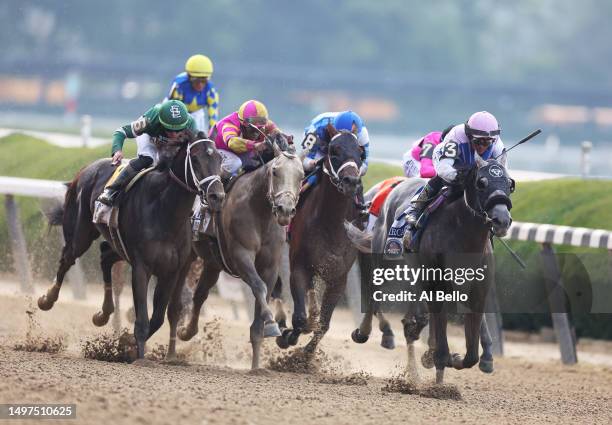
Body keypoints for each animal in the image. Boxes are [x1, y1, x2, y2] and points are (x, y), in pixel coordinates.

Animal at [36, 134, 222, 356]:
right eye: (195, 159)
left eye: (220, 159)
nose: (217, 196)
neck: (165, 210)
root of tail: (86, 169)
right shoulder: (141, 267)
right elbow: (142, 319)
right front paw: (136, 354)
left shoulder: (172, 270)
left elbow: (157, 319)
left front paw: (126, 346)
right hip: (80, 234)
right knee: (67, 258)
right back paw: (47, 299)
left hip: (118, 246)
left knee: (104, 255)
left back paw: (103, 313)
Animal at [276, 126, 364, 352]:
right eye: (334, 150)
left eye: (360, 153)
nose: (351, 182)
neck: (330, 223)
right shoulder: (299, 266)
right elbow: (299, 317)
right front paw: (288, 337)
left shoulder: (338, 277)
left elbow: (324, 324)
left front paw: (306, 355)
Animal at [346, 157, 512, 384]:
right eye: (481, 183)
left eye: (510, 184)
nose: (501, 220)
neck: (462, 234)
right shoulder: (436, 284)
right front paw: (438, 367)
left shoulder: (477, 289)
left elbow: (471, 353)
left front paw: (461, 358)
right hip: (384, 259)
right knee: (374, 293)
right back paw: (367, 333)